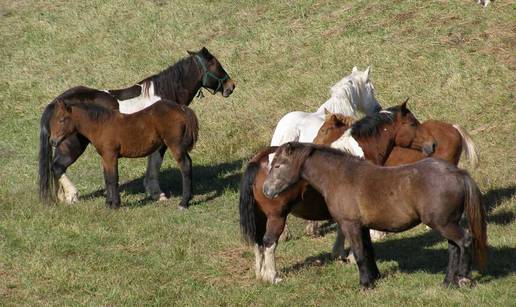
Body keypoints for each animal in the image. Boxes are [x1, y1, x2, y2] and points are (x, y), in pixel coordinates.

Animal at [42, 100, 199, 211]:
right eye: (52, 121)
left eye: (61, 120)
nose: (53, 141)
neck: (101, 124)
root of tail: (181, 108)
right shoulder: (105, 157)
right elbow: (107, 179)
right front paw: (108, 203)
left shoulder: (111, 155)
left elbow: (113, 178)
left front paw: (115, 205)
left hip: (175, 145)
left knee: (185, 166)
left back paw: (183, 203)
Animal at [240, 101, 422, 284]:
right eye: (413, 123)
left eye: (324, 130)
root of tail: (258, 160)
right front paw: (352, 256)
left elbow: (342, 231)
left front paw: (340, 253)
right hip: (276, 216)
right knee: (269, 242)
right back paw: (272, 276)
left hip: (260, 216)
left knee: (258, 242)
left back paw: (260, 273)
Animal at [262, 143, 488, 290]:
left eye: (278, 165)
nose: (266, 190)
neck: (340, 176)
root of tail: (456, 173)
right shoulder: (363, 227)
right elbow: (368, 252)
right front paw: (374, 278)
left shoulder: (350, 225)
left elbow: (360, 255)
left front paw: (365, 284)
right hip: (447, 223)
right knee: (454, 248)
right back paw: (448, 282)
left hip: (444, 224)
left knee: (465, 241)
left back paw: (463, 278)